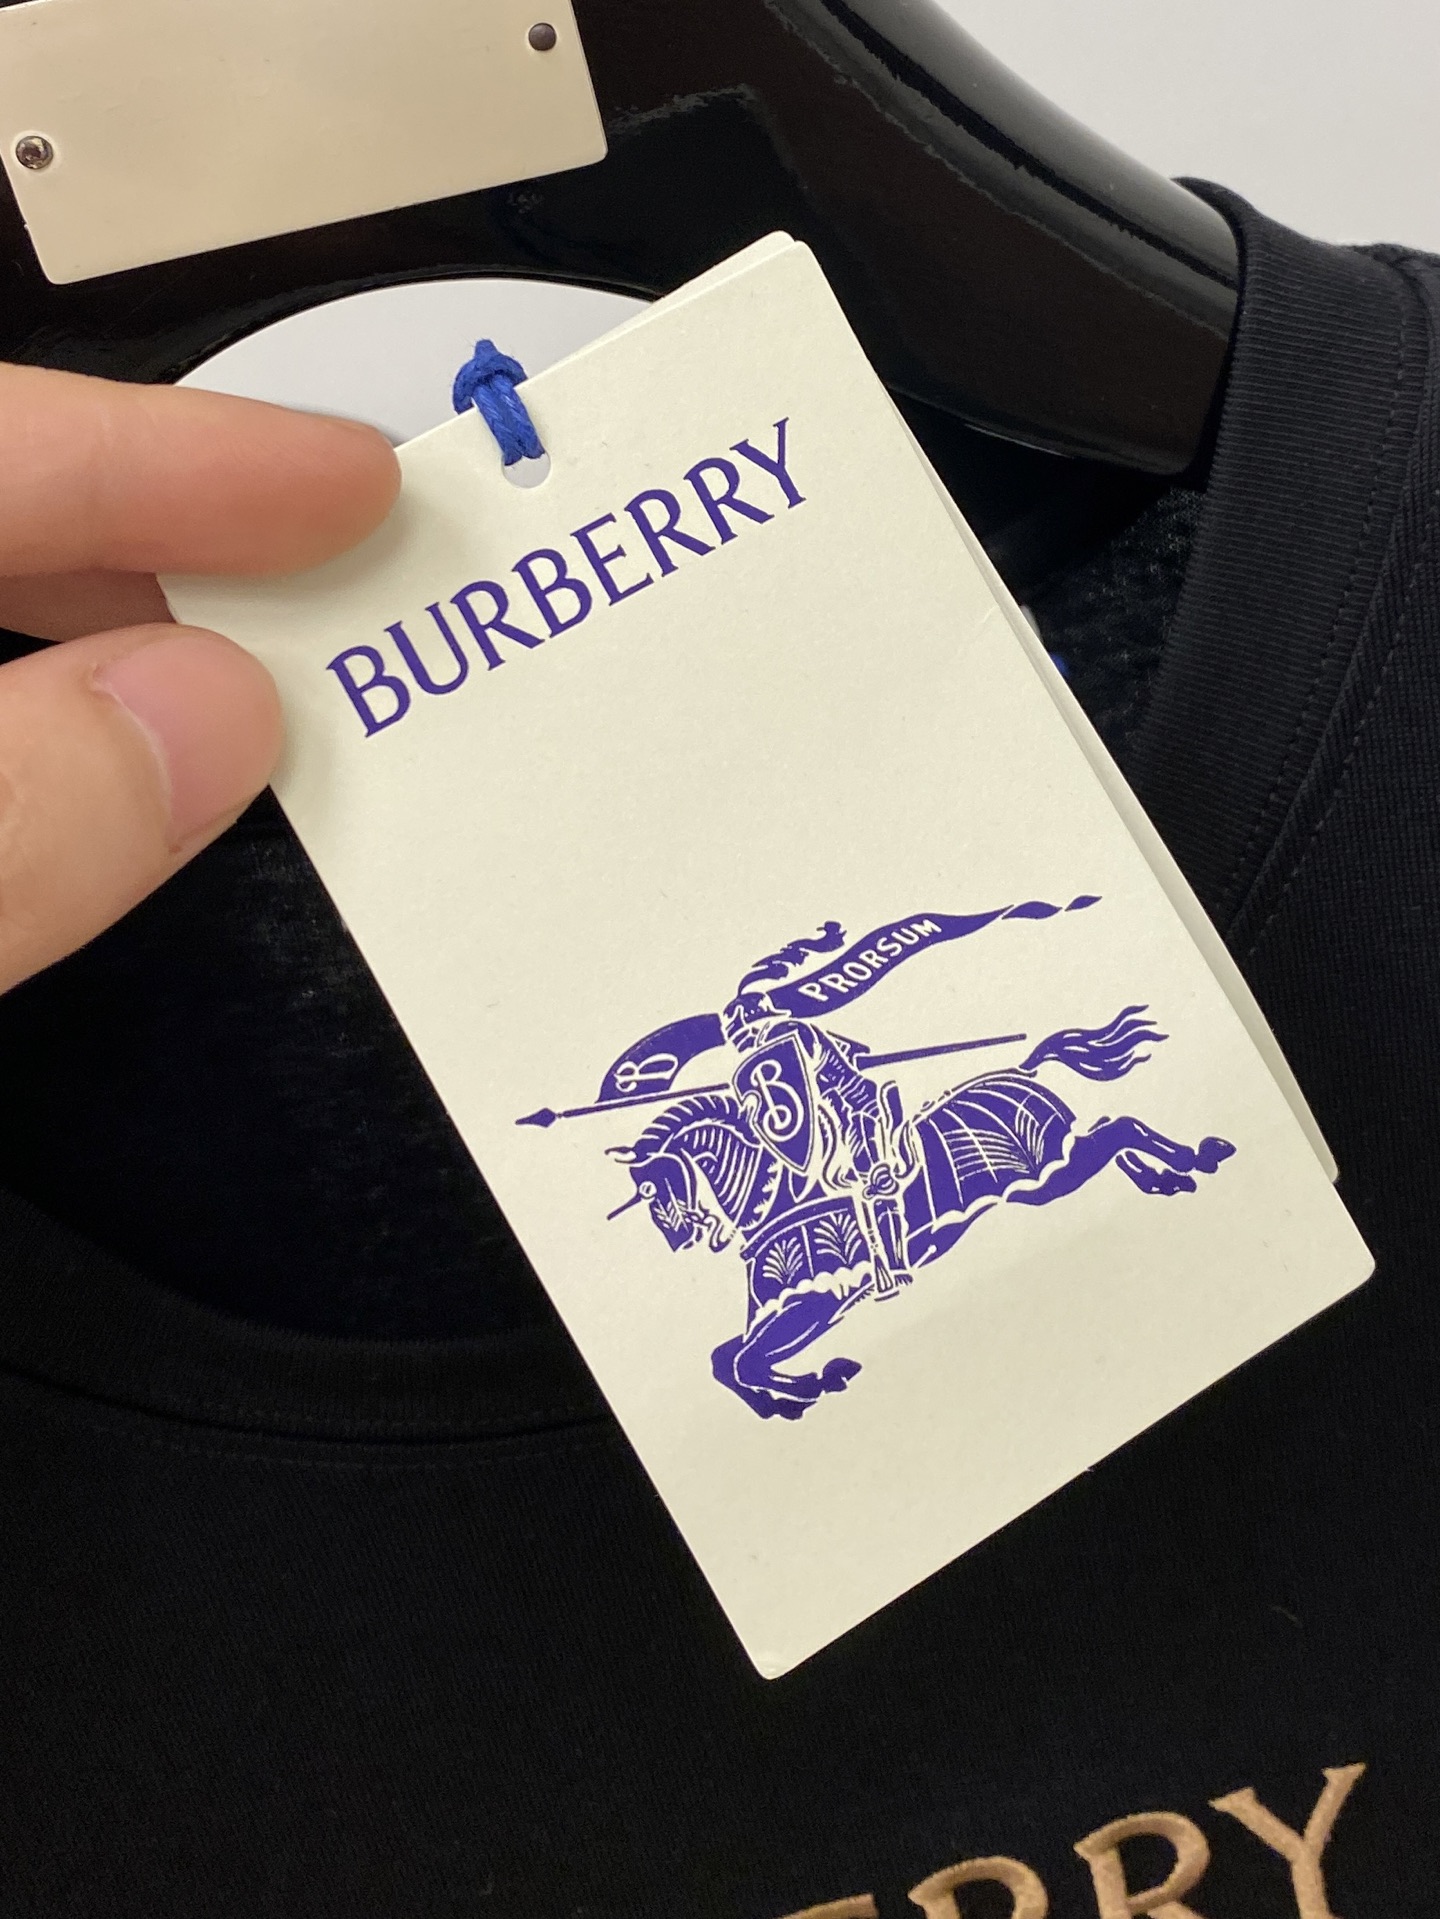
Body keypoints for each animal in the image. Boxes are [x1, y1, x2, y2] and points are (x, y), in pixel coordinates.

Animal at [609, 1008, 1235, 1420]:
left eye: (654, 1190)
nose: (679, 1239)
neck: (783, 1199)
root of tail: (1024, 1069)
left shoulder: (815, 1302)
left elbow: (741, 1363)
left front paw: (812, 1384)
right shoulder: (793, 1311)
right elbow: (726, 1359)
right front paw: (786, 1400)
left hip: (1046, 1173)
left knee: (1119, 1128)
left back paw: (1195, 1157)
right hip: (1052, 1176)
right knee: (1109, 1133)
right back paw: (1165, 1177)